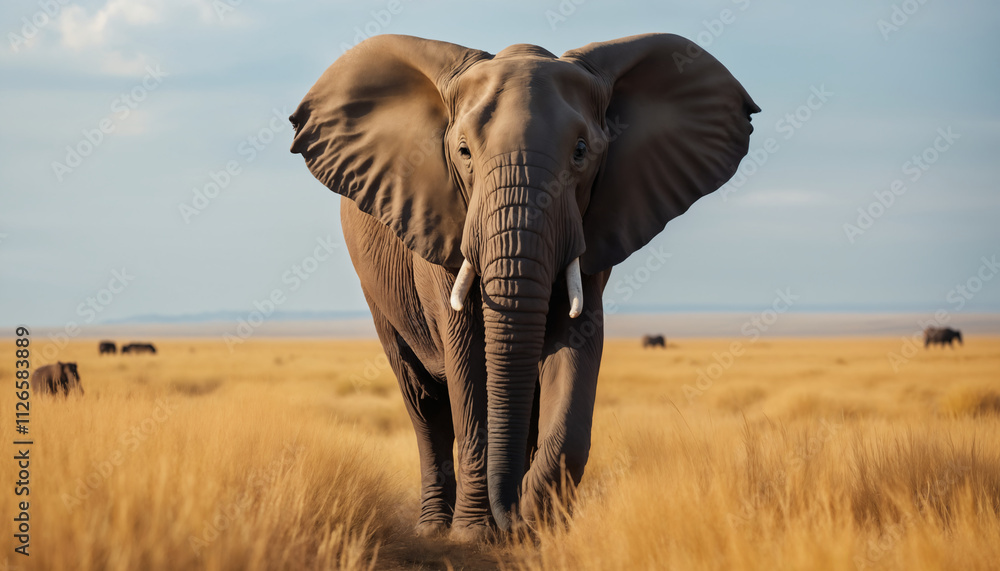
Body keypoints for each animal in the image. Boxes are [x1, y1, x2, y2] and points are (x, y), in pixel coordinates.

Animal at [290, 33, 757, 540]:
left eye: (581, 151)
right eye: (463, 152)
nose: (509, 517)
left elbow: (575, 343)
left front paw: (538, 524)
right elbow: (468, 358)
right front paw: (476, 534)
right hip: (378, 293)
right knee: (423, 400)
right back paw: (434, 527)